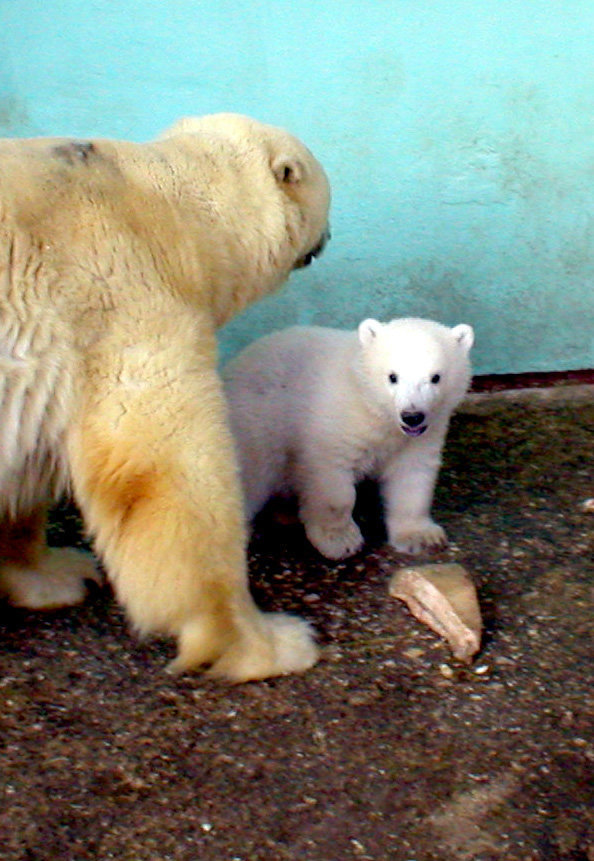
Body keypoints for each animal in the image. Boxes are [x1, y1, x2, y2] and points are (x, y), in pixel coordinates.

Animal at [222, 320, 472, 560]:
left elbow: (412, 477)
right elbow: (333, 484)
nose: (412, 416)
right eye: (392, 377)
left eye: (435, 377)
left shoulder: (421, 435)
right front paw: (340, 541)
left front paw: (421, 536)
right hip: (257, 425)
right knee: (254, 475)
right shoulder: (336, 421)